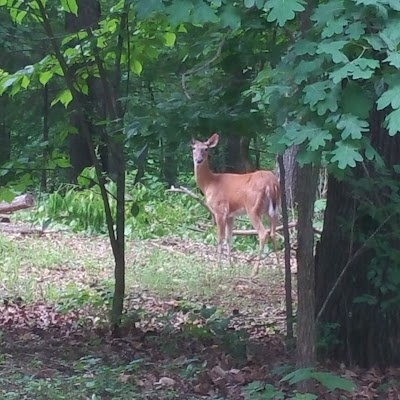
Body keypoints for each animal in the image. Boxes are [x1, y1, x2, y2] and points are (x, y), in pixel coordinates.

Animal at [191, 133, 280, 276]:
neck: (209, 183)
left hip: (252, 208)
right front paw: (231, 265)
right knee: (273, 233)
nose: (198, 160)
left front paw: (217, 266)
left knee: (263, 233)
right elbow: (229, 238)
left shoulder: (220, 210)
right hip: (274, 209)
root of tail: (271, 183)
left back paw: (255, 271)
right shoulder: (230, 215)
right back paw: (280, 268)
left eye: (206, 149)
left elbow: (220, 237)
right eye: (193, 148)